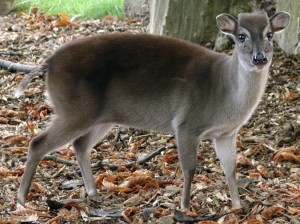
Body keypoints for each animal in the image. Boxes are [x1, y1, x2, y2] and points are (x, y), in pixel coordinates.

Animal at [15, 11, 290, 209]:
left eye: (269, 35)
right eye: (241, 36)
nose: (260, 58)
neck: (225, 92)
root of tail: (48, 63)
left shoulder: (226, 133)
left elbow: (230, 168)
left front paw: (237, 206)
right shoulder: (186, 123)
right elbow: (190, 168)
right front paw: (184, 207)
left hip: (101, 117)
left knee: (79, 144)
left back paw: (93, 193)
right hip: (73, 109)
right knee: (38, 142)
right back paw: (21, 198)